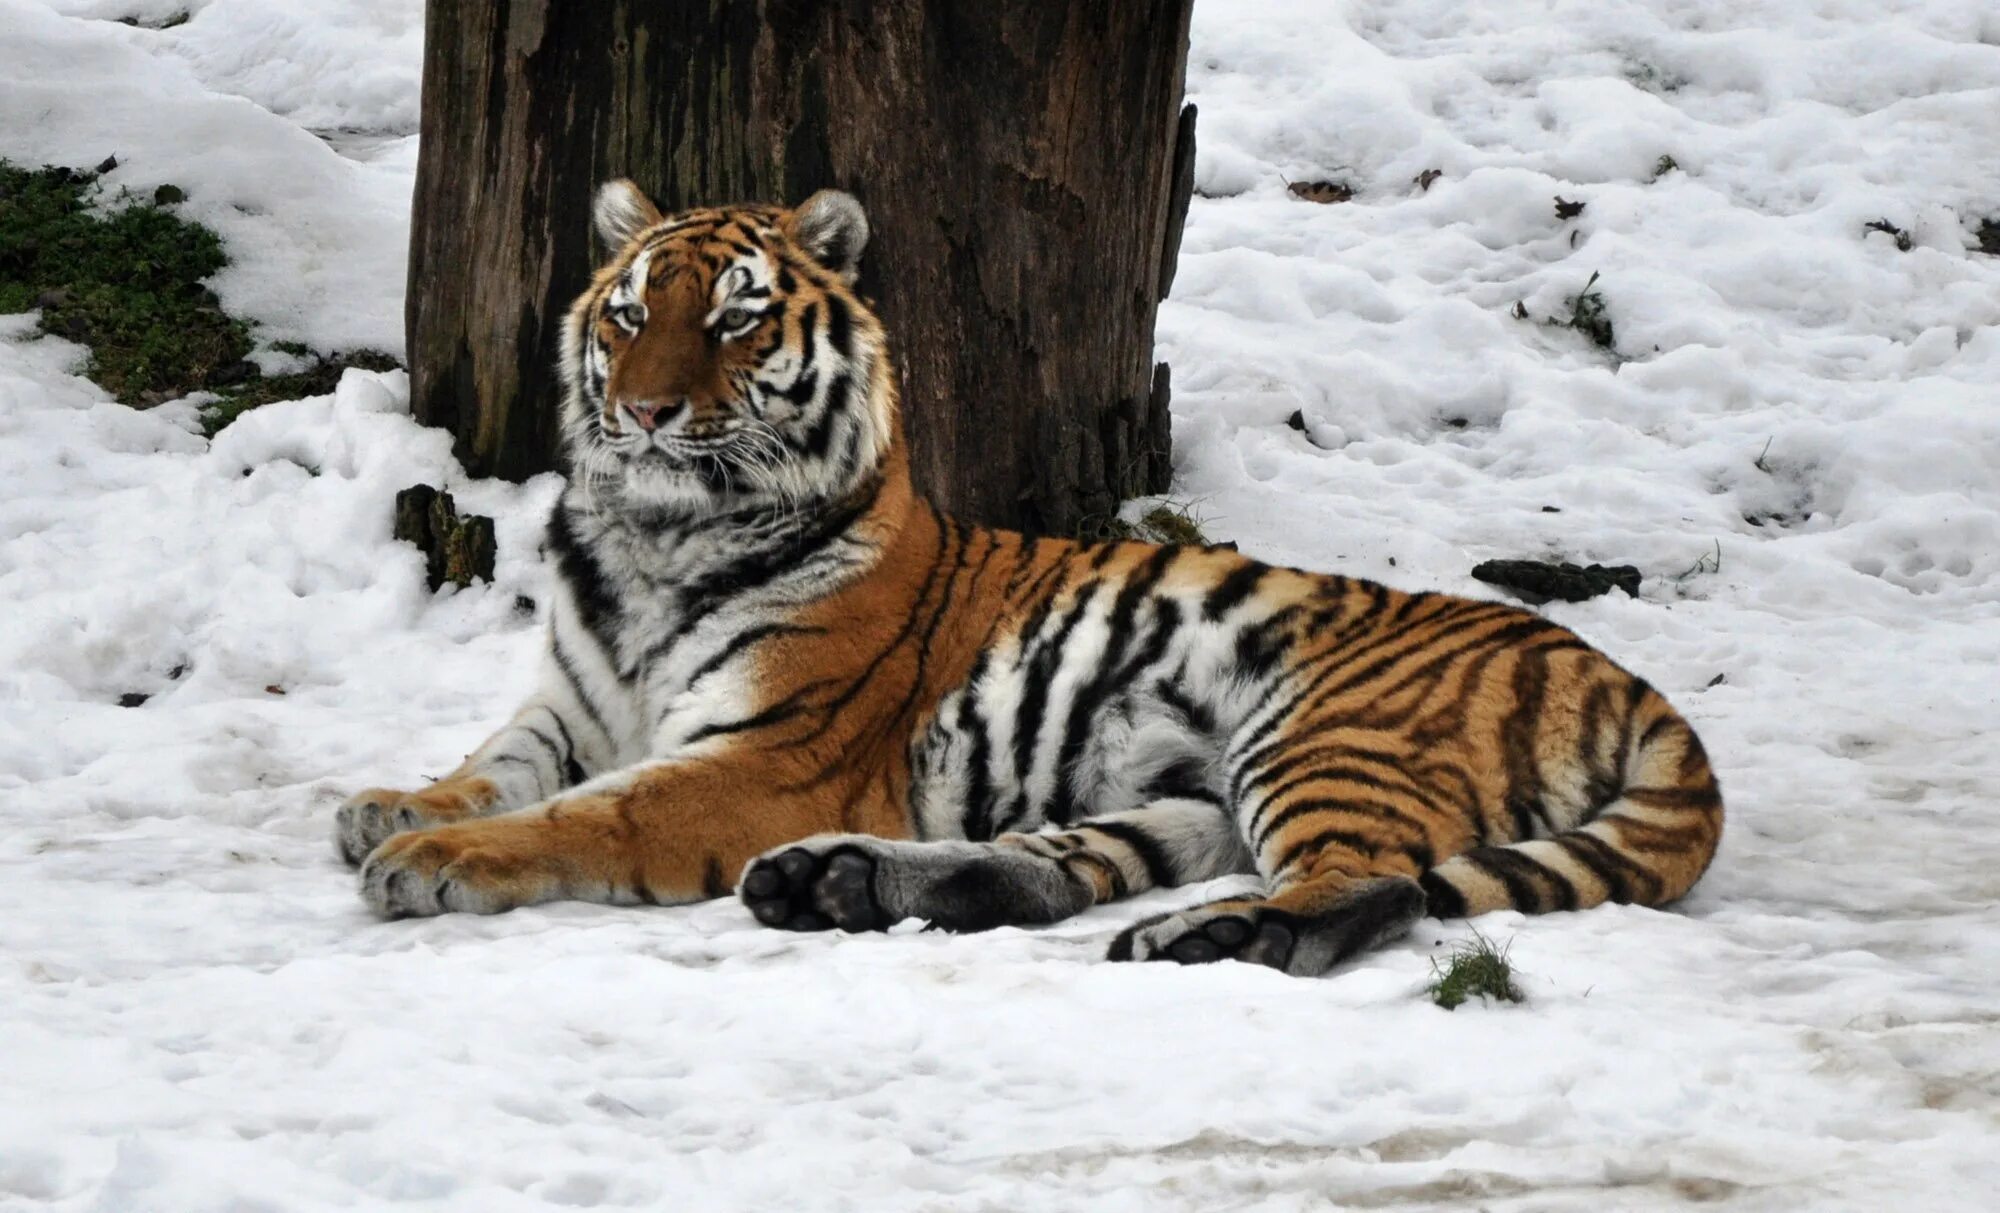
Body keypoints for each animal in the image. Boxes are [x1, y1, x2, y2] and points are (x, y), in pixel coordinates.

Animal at [336, 178, 1728, 980]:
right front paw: (391, 804)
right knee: (1067, 864)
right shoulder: (569, 703)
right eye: (630, 314)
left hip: (1321, 734)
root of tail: (1621, 675)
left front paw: (429, 858)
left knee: (1369, 887)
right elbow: (495, 763)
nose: (642, 411)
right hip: (1189, 794)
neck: (654, 535)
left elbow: (591, 814)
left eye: (733, 318)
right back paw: (839, 884)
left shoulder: (766, 751)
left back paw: (1232, 936)